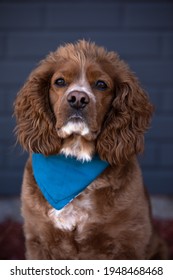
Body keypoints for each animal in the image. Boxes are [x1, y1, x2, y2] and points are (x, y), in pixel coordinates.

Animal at [13, 39, 166, 258]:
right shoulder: (39, 240)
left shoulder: (129, 243)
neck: (75, 156)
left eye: (101, 84)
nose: (78, 98)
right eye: (60, 82)